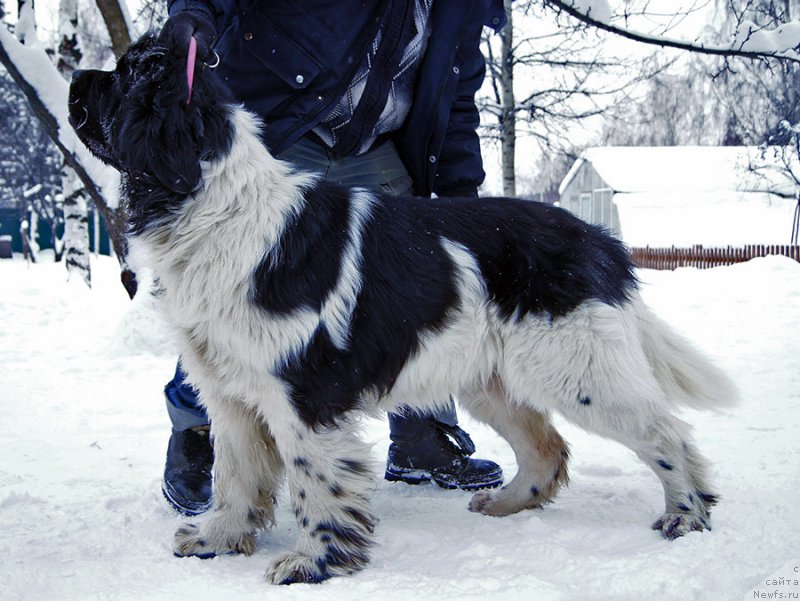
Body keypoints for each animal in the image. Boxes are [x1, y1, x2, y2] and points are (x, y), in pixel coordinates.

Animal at [69, 32, 736, 580]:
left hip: (579, 371)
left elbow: (316, 481)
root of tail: (602, 242)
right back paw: (504, 504)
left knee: (667, 433)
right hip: (493, 379)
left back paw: (686, 516)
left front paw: (314, 562)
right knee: (548, 448)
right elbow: (232, 473)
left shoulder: (303, 394)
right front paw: (217, 538)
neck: (214, 207)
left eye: (122, 78)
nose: (76, 77)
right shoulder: (231, 389)